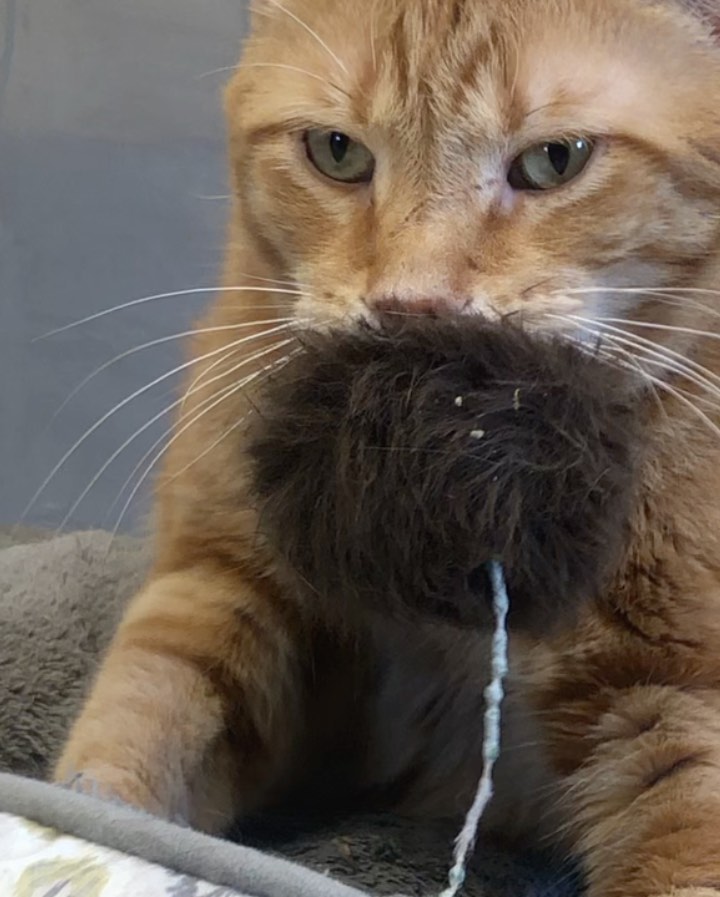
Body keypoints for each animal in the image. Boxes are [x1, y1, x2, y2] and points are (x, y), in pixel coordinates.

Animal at [54, 0, 720, 892]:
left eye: (554, 160)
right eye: (338, 152)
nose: (412, 303)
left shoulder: (676, 703)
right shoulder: (219, 589)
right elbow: (131, 750)